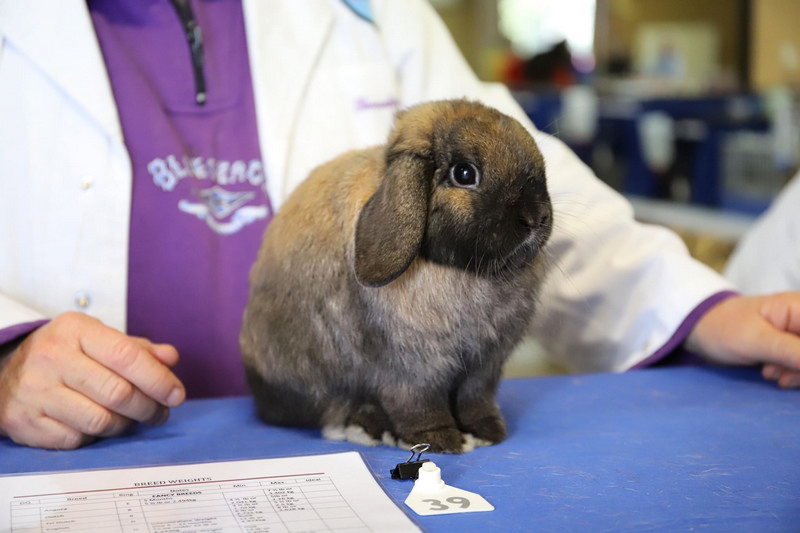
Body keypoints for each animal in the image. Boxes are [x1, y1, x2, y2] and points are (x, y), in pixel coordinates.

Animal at [240, 99, 552, 453]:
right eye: (464, 173)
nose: (536, 217)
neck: (467, 273)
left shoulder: (483, 368)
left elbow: (475, 402)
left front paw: (488, 433)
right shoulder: (412, 371)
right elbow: (420, 405)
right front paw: (441, 441)